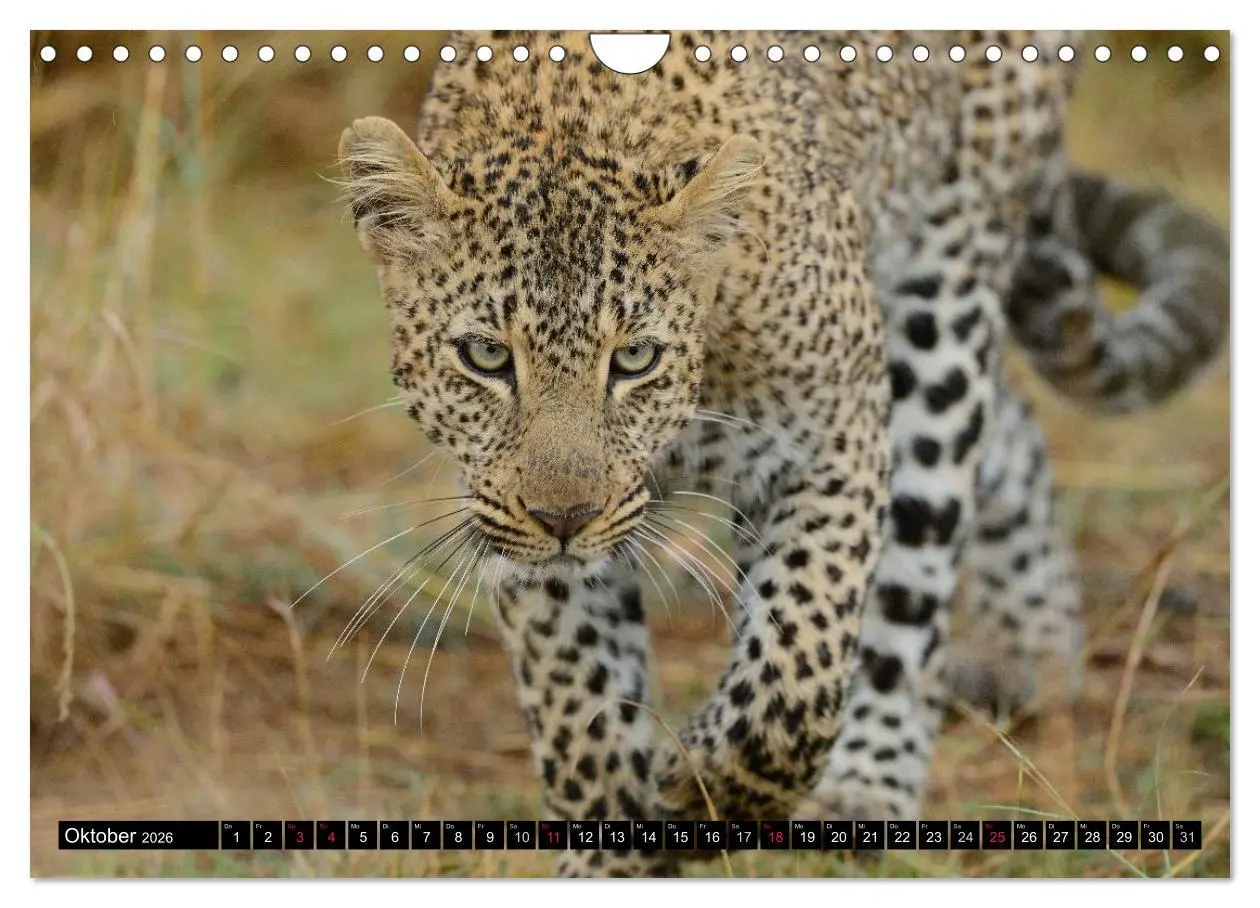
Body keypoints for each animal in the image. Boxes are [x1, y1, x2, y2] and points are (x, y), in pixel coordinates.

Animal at [336, 29, 1228, 876]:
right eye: (487, 356)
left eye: (635, 359)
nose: (565, 516)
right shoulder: (511, 515)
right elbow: (579, 702)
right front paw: (613, 853)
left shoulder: (839, 427)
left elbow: (800, 658)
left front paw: (696, 787)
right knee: (1012, 424)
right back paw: (1034, 649)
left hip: (942, 291)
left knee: (919, 560)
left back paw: (871, 779)